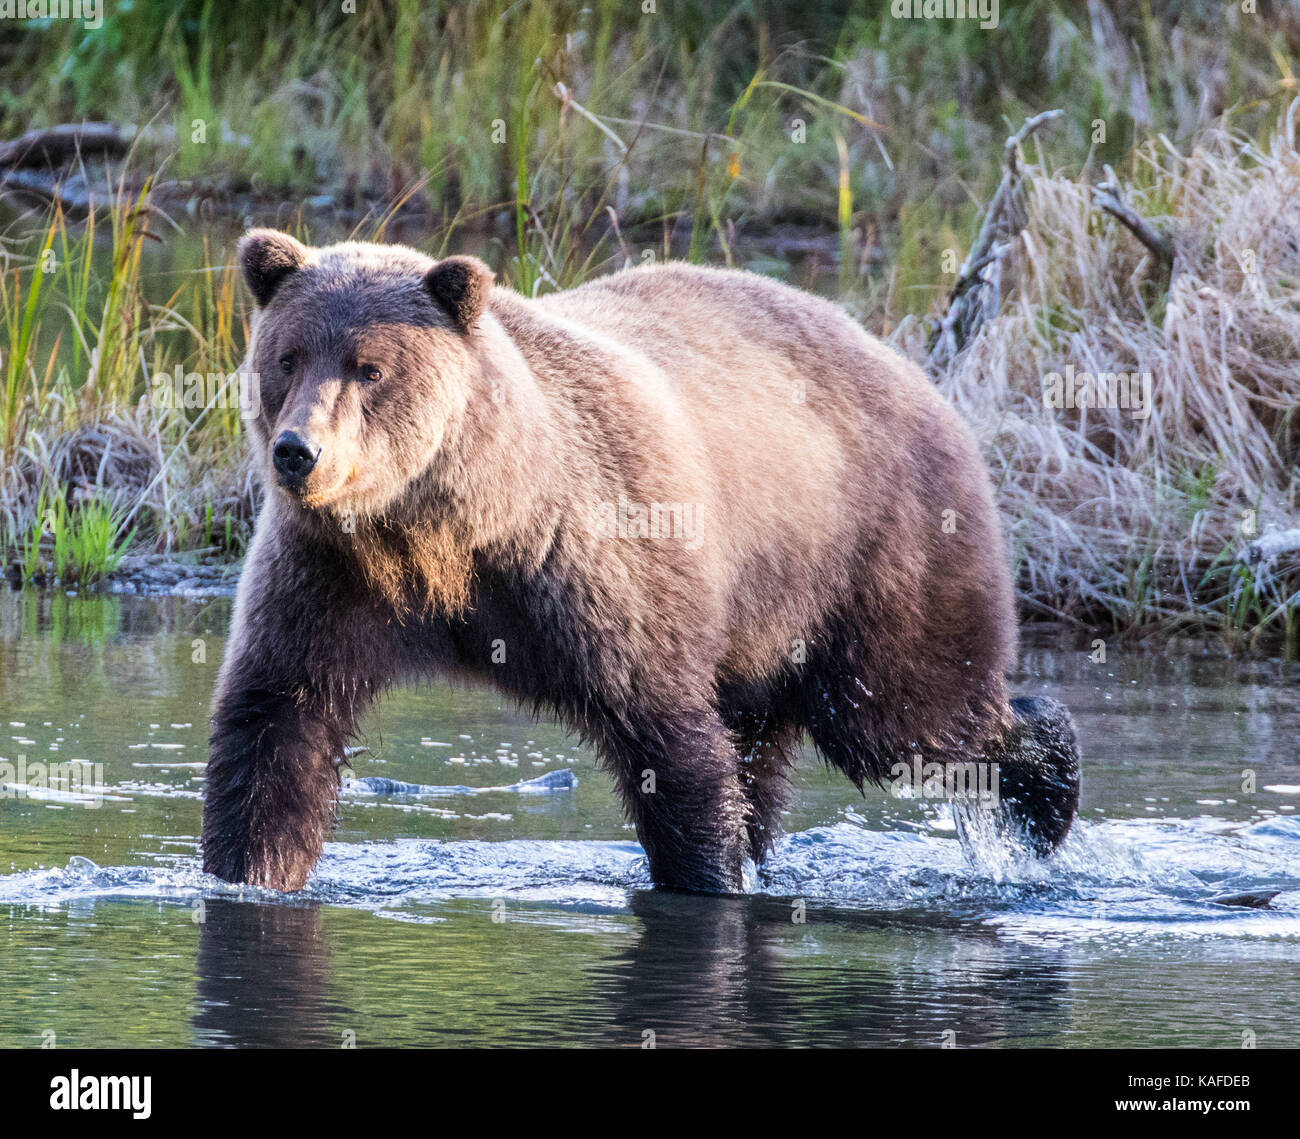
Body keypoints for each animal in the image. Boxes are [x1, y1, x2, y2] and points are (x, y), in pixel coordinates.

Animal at [200, 228, 1076, 889]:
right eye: (288, 356)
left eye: (370, 367)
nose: (298, 452)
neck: (446, 528)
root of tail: (913, 368)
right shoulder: (331, 575)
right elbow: (277, 719)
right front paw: (248, 868)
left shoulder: (596, 565)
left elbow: (667, 738)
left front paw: (707, 874)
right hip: (762, 620)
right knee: (772, 742)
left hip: (870, 549)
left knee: (903, 715)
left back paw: (1044, 791)